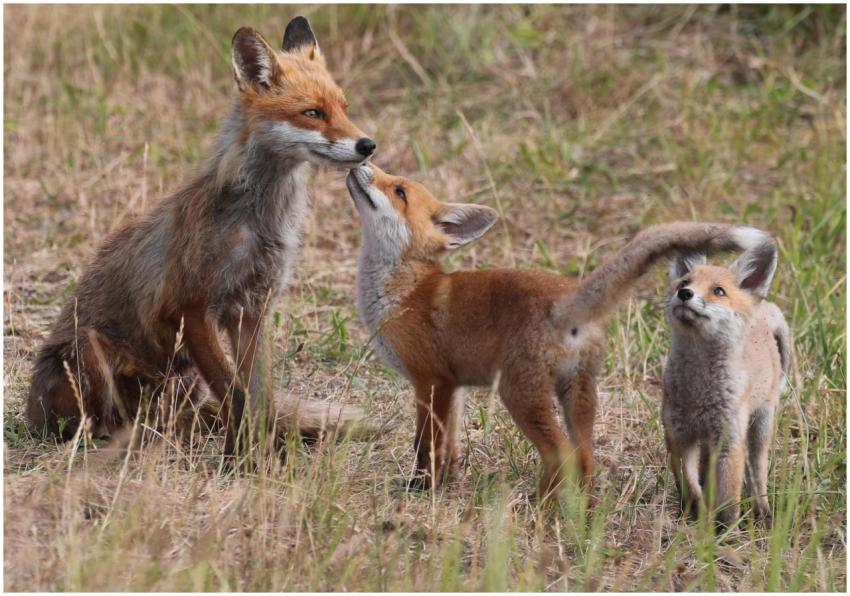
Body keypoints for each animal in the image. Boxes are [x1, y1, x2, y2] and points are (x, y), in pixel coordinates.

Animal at [26, 17, 377, 454]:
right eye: (313, 113)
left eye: (344, 109)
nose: (368, 145)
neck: (260, 222)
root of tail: (30, 412)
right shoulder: (194, 309)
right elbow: (237, 397)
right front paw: (251, 458)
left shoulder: (252, 311)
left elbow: (260, 398)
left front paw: (258, 455)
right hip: (92, 350)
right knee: (105, 423)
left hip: (184, 381)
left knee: (172, 419)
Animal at [345, 163, 771, 501]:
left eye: (398, 191)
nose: (363, 158)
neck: (404, 290)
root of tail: (567, 298)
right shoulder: (454, 387)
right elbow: (449, 447)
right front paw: (445, 485)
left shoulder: (430, 381)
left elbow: (424, 446)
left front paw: (422, 489)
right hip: (578, 396)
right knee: (585, 458)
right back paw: (575, 511)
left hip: (519, 394)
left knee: (562, 454)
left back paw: (538, 507)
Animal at [662, 238, 791, 528]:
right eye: (684, 282)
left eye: (718, 291)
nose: (684, 294)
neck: (698, 392)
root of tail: (763, 308)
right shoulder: (678, 436)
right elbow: (690, 484)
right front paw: (696, 513)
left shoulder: (729, 440)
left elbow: (729, 498)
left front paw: (724, 531)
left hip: (760, 424)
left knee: (757, 472)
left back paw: (763, 511)